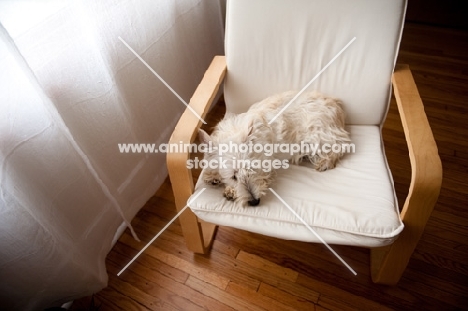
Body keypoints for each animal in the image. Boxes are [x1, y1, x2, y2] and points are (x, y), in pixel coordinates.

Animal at [198, 91, 352, 207]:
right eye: (233, 177)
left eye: (253, 169)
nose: (254, 202)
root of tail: (336, 103)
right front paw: (213, 176)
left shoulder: (268, 164)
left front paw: (230, 190)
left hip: (317, 131)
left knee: (342, 143)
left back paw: (325, 162)